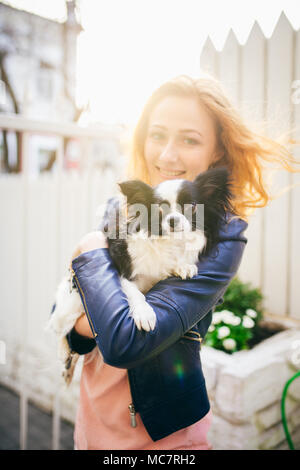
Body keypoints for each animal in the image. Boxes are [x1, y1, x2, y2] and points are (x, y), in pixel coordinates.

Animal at [47, 167, 234, 384]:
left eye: (193, 206)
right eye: (160, 208)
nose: (173, 220)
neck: (169, 242)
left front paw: (183, 266)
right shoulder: (124, 273)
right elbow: (136, 293)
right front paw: (144, 314)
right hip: (70, 306)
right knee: (62, 328)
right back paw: (63, 351)